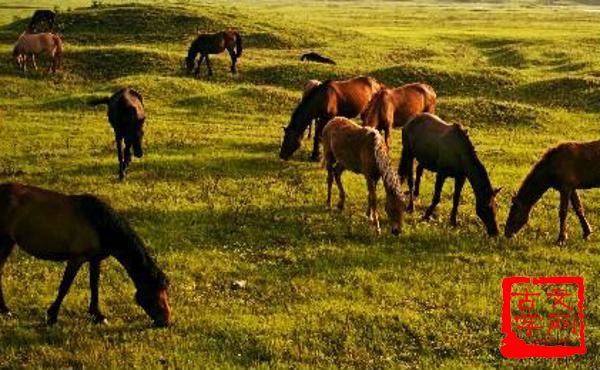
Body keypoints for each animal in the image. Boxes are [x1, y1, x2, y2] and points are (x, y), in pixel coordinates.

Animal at [0, 183, 172, 326]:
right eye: (155, 297)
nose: (166, 322)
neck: (100, 224)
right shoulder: (76, 259)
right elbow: (65, 287)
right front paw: (52, 316)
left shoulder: (95, 259)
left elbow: (94, 285)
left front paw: (97, 315)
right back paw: (5, 310)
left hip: (8, 242)